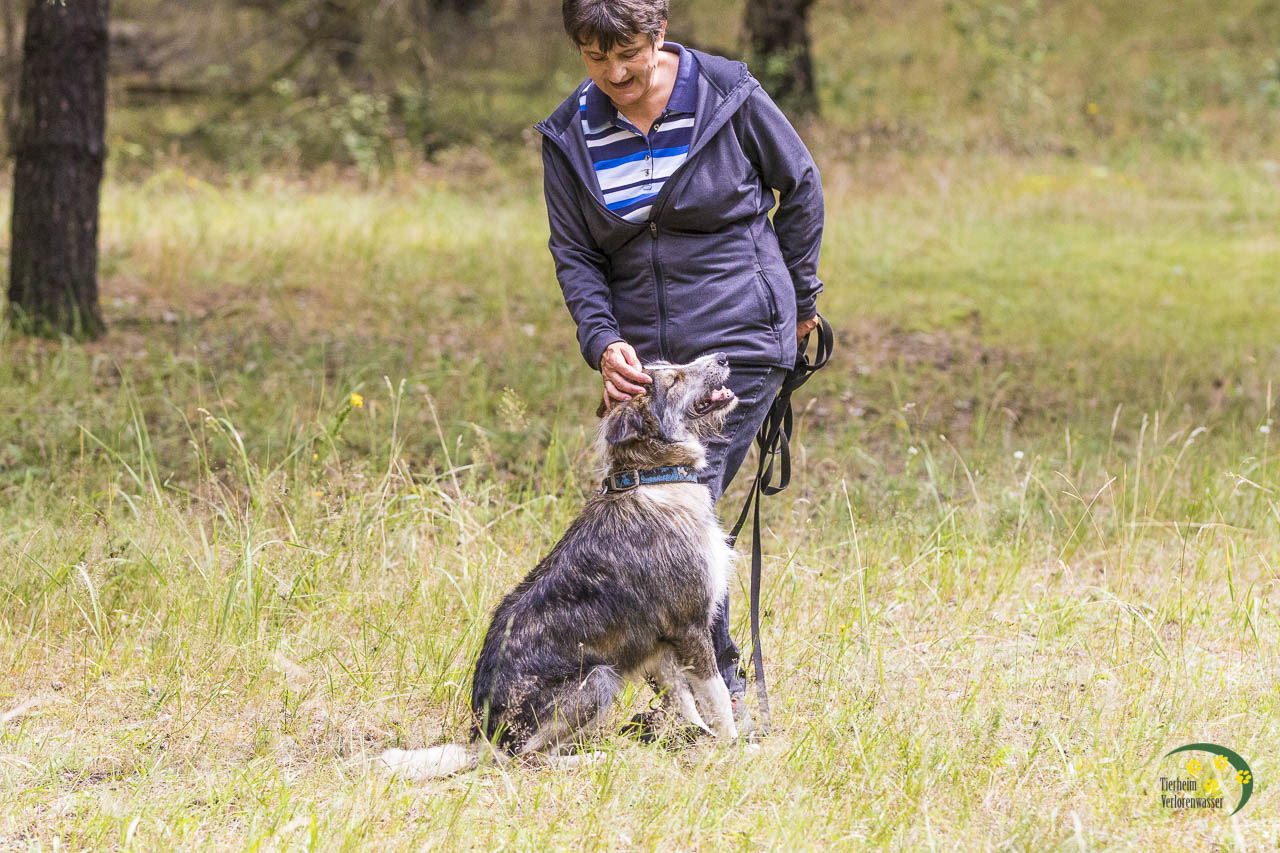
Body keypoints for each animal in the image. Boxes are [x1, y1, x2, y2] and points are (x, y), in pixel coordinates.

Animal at [378, 352, 741, 779]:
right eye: (674, 379)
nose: (723, 356)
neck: (653, 479)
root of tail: (485, 739)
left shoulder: (660, 644)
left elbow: (685, 701)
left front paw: (699, 741)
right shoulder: (690, 628)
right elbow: (717, 697)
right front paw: (738, 748)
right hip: (598, 679)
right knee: (527, 758)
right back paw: (593, 758)